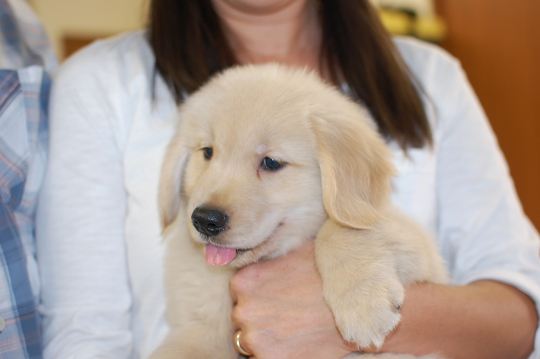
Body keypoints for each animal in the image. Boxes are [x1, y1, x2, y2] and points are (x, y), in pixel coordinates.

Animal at [150, 64, 450, 359]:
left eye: (271, 162)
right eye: (208, 152)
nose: (205, 220)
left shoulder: (416, 247)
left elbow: (338, 231)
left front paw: (363, 304)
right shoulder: (199, 329)